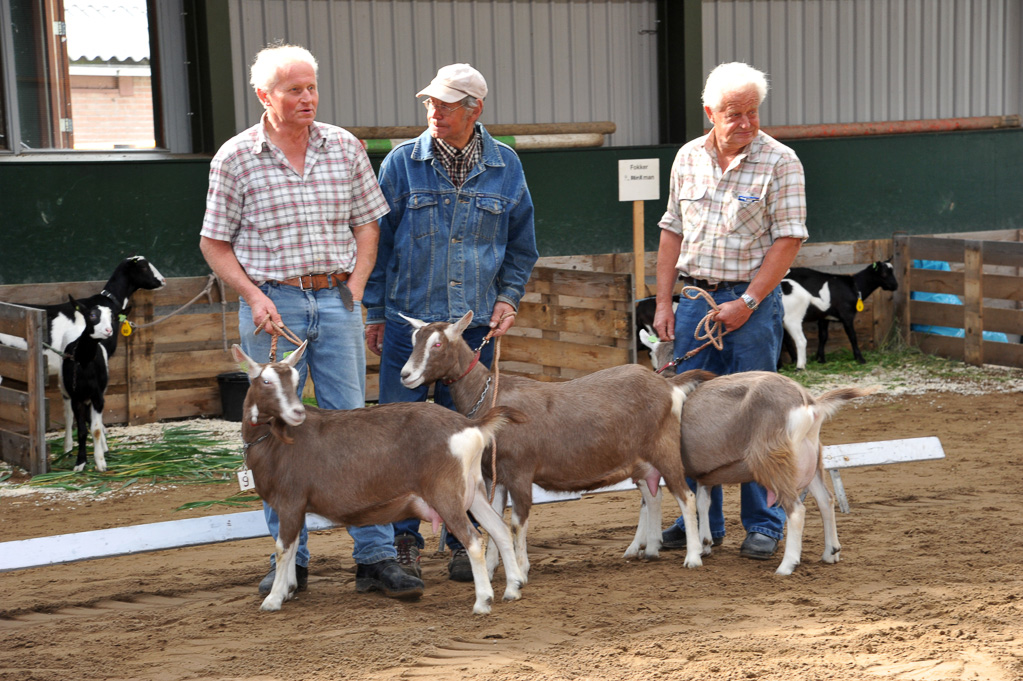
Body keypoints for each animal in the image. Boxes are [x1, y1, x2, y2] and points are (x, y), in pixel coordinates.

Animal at [233, 341, 527, 613]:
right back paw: (513, 588)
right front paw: (288, 589)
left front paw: (273, 599)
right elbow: (293, 547)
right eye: (267, 381)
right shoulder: (296, 507)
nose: (297, 413)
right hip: (473, 489)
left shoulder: (290, 501)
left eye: (295, 380)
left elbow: (282, 549)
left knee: (474, 540)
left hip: (446, 493)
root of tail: (471, 426)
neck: (275, 440)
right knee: (499, 529)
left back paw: (483, 601)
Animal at [396, 310, 712, 576]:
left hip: (665, 449)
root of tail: (668, 386)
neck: (489, 396)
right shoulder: (493, 476)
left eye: (438, 344)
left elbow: (516, 523)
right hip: (641, 460)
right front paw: (493, 566)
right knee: (652, 495)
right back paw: (650, 550)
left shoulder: (520, 473)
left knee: (686, 496)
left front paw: (521, 569)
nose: (405, 375)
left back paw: (693, 555)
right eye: (414, 340)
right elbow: (495, 522)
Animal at [666, 372, 875, 572]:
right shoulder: (705, 476)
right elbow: (703, 504)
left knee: (796, 510)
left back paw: (787, 565)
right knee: (826, 499)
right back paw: (831, 552)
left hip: (772, 461)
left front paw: (689, 554)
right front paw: (705, 544)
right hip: (810, 459)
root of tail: (810, 402)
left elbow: (681, 501)